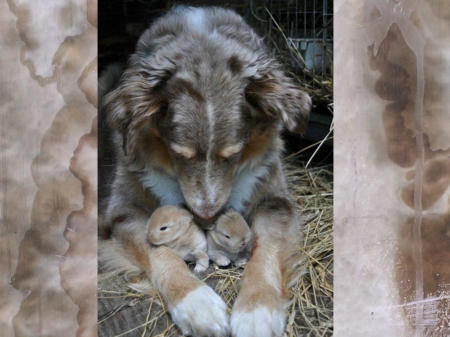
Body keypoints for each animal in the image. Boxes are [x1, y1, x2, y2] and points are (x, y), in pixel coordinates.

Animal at [98, 5, 310, 336]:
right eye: (178, 154)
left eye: (233, 154)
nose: (207, 218)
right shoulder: (122, 210)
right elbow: (157, 250)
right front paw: (197, 304)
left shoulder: (275, 200)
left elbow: (266, 249)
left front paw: (257, 311)